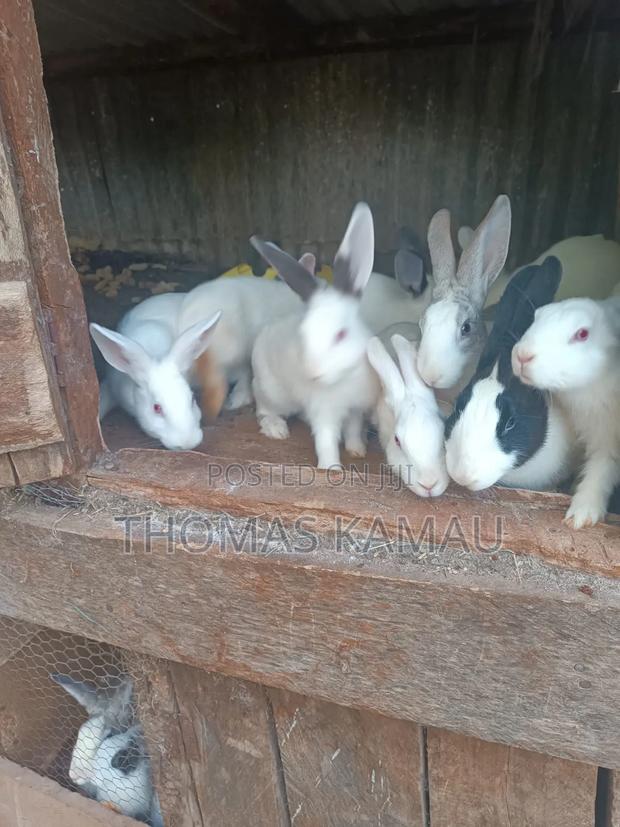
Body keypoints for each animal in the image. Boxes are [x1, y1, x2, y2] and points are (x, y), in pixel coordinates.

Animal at [250, 202, 380, 469]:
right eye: (304, 334)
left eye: (341, 334)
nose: (312, 372)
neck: (345, 376)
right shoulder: (325, 412)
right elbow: (326, 440)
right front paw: (331, 468)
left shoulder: (355, 410)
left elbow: (352, 431)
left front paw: (357, 450)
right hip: (273, 393)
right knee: (263, 411)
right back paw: (276, 429)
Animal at [512, 295, 620, 528]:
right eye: (537, 316)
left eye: (583, 334)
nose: (523, 355)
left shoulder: (608, 437)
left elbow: (602, 469)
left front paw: (581, 516)